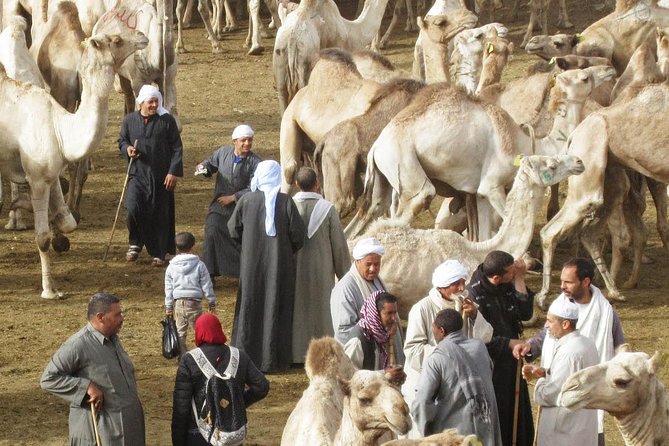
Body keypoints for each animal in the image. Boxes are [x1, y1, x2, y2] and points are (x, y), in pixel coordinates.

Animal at [0, 29, 147, 298]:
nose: (142, 35)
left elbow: (68, 222)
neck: (60, 128)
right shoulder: (38, 178)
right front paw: (50, 290)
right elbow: (42, 238)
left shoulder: (51, 174)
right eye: (116, 40)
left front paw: (53, 228)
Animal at [344, 62, 616, 240]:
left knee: (361, 221)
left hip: (383, 179)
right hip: (405, 166)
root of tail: (377, 146)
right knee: (409, 207)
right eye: (584, 77)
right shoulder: (492, 186)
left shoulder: (479, 194)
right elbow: (507, 222)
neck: (524, 143)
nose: (610, 68)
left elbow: (485, 235)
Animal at [536, 83, 669, 306]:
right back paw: (543, 296)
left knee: (594, 233)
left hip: (612, 178)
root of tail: (574, 134)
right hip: (590, 161)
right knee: (551, 231)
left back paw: (615, 289)